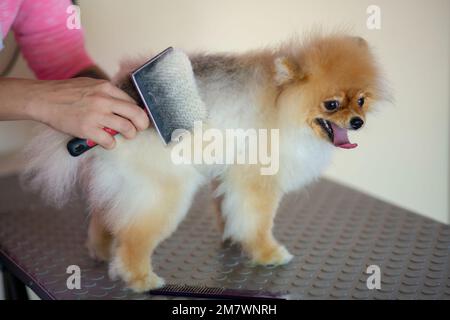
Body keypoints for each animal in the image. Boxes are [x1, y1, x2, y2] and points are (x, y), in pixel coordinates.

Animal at [22, 33, 384, 292]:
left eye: (361, 100)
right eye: (331, 104)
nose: (357, 122)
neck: (281, 106)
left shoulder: (229, 173)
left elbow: (229, 211)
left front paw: (232, 239)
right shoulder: (256, 182)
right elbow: (257, 223)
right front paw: (267, 253)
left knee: (106, 214)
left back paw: (100, 247)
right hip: (163, 192)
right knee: (134, 238)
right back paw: (140, 278)